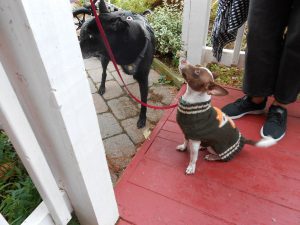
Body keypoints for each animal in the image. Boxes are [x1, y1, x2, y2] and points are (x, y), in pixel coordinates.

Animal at [79, 0, 155, 128]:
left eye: (90, 36)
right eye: (84, 34)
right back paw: (102, 87)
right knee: (104, 73)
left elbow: (144, 101)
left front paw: (142, 119)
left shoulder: (144, 78)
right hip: (105, 58)